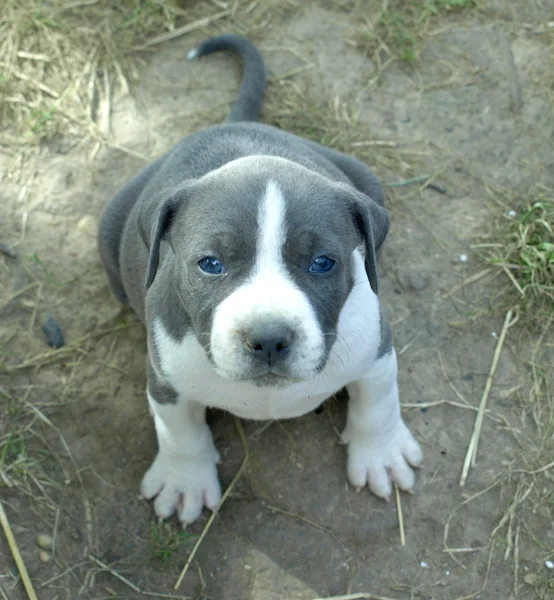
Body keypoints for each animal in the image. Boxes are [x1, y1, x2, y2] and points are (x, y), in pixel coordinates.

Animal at [98, 36, 422, 524]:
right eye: (210, 264)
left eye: (323, 263)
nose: (269, 338)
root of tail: (236, 124)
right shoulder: (164, 378)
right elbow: (180, 432)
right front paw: (184, 481)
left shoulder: (376, 348)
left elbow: (377, 401)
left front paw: (380, 454)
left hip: (364, 175)